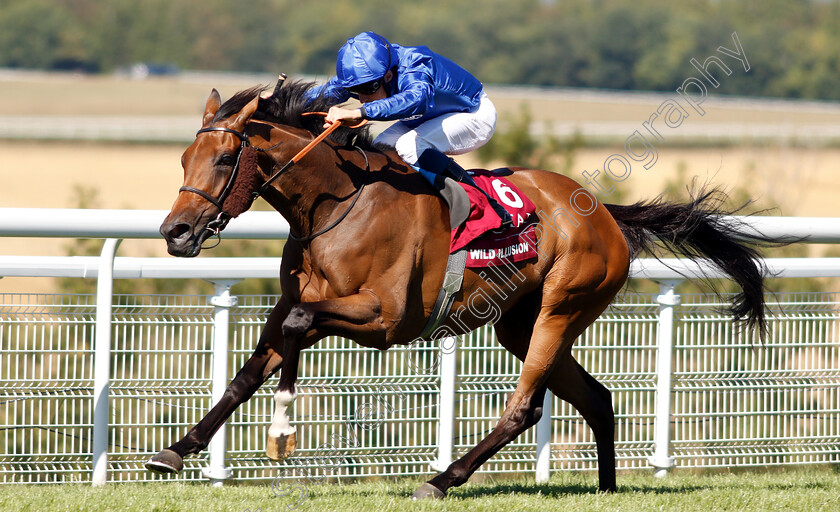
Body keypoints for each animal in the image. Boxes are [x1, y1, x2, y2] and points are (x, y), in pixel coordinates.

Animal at [149, 78, 776, 498]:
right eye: (182, 158)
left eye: (224, 158)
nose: (175, 232)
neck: (334, 205)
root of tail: (604, 212)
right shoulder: (295, 300)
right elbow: (248, 371)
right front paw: (175, 452)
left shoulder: (385, 318)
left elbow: (300, 329)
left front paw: (282, 430)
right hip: (519, 323)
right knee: (596, 397)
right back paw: (605, 488)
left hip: (562, 307)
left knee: (523, 407)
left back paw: (443, 479)